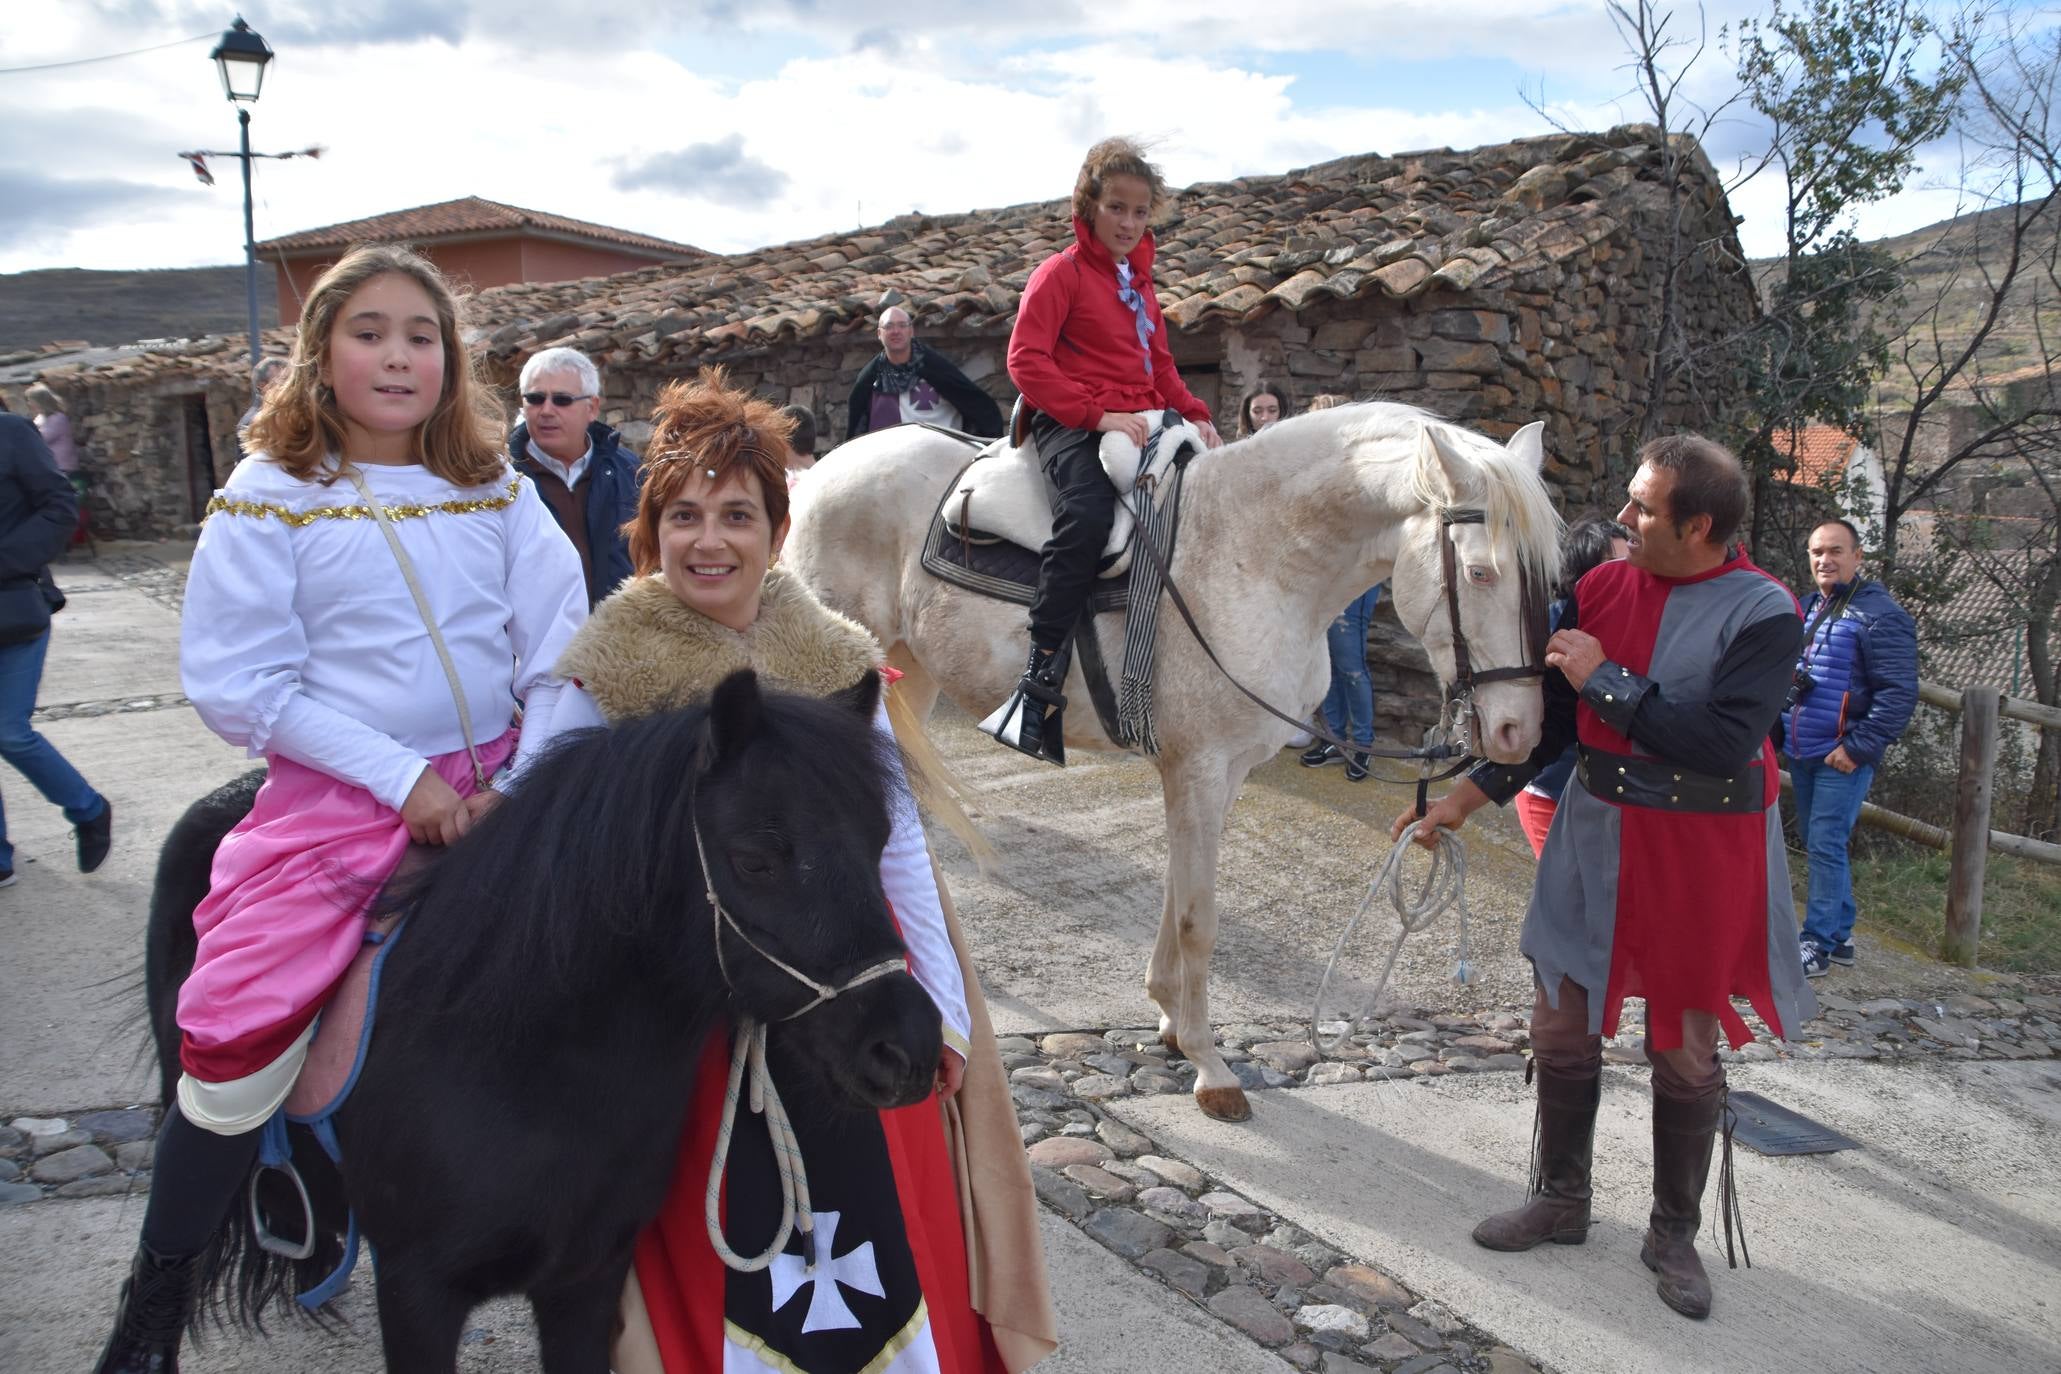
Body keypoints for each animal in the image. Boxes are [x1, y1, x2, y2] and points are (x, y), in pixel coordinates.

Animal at [128, 675, 935, 1374]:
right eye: (757, 859)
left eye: (879, 841)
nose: (907, 1050)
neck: (522, 1066)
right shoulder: (416, 1294)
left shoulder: (584, 1281)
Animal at [787, 403, 1558, 1120]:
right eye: (1480, 572)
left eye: (1546, 580)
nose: (1518, 730)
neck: (1254, 555)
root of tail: (823, 471)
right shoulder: (1199, 768)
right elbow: (1199, 917)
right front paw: (1208, 1063)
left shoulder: (1218, 772)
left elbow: (1175, 892)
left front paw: (1165, 1015)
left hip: (908, 674)